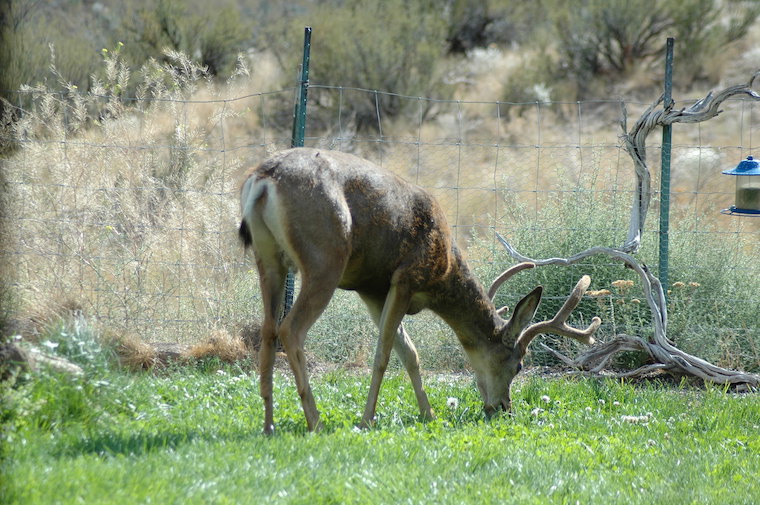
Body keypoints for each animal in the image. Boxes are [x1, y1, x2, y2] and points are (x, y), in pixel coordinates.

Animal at [239, 148, 600, 433]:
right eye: (519, 365)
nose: (503, 408)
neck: (443, 273)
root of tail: (263, 179)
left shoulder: (372, 290)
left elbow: (409, 352)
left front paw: (428, 414)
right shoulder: (406, 278)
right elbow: (384, 354)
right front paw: (366, 420)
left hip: (268, 258)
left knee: (268, 329)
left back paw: (268, 423)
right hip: (324, 258)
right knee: (291, 328)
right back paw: (315, 420)